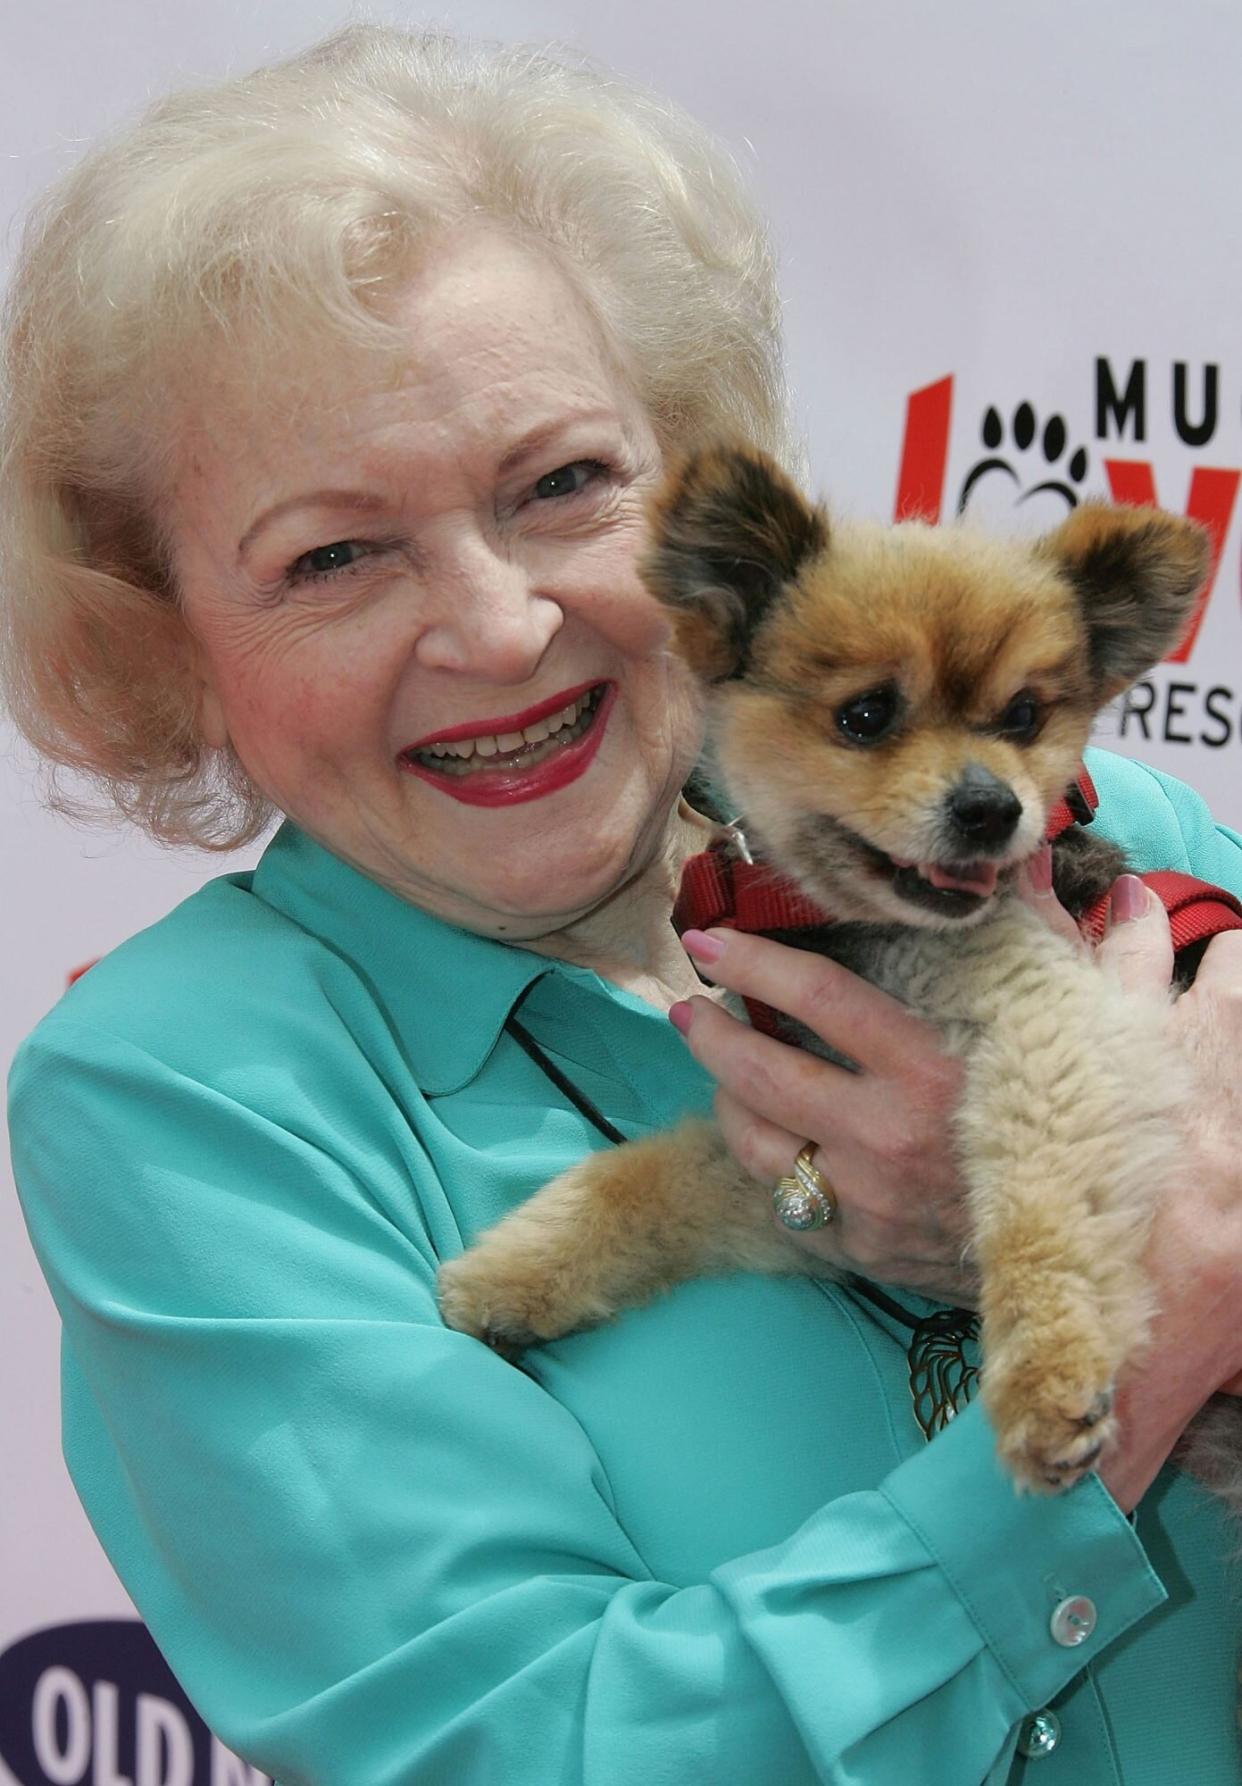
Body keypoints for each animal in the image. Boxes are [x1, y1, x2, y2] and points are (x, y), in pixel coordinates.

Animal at [439, 442, 1236, 1493]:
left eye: (1024, 716)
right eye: (866, 715)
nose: (992, 808)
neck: (852, 931)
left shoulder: (1059, 1024)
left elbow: (1043, 1211)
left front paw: (1048, 1368)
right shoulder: (792, 1166)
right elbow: (639, 1179)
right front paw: (508, 1274)